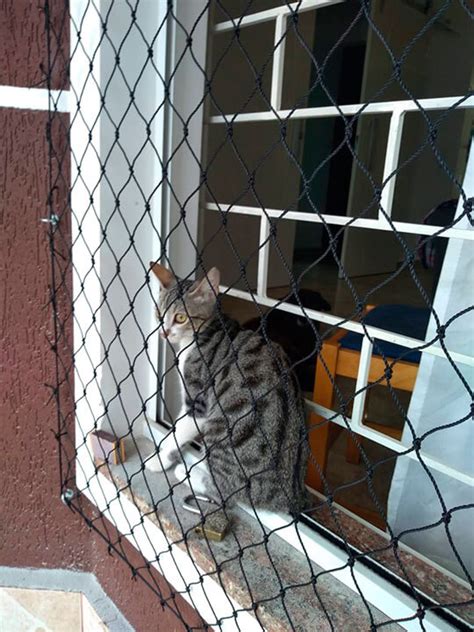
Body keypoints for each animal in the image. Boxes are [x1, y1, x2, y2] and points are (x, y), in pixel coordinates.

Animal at [148, 262, 310, 512]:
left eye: (181, 317)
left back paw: (188, 473)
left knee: (226, 491)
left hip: (223, 430)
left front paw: (160, 460)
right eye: (159, 314)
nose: (164, 332)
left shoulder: (199, 401)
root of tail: (289, 496)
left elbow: (179, 431)